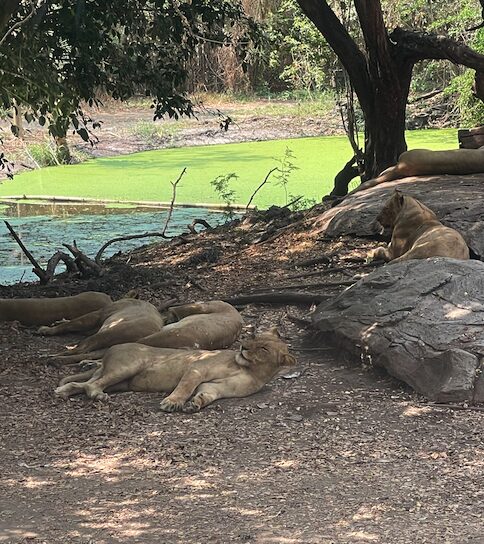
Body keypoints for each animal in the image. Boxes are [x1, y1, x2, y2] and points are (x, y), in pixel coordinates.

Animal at [53, 328, 294, 412]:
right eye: (253, 337)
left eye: (263, 348)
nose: (243, 346)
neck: (249, 369)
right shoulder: (198, 367)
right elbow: (185, 387)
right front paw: (172, 402)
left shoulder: (218, 388)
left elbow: (207, 394)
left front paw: (196, 404)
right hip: (129, 366)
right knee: (92, 385)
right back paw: (97, 395)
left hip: (120, 382)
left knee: (82, 384)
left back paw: (64, 392)